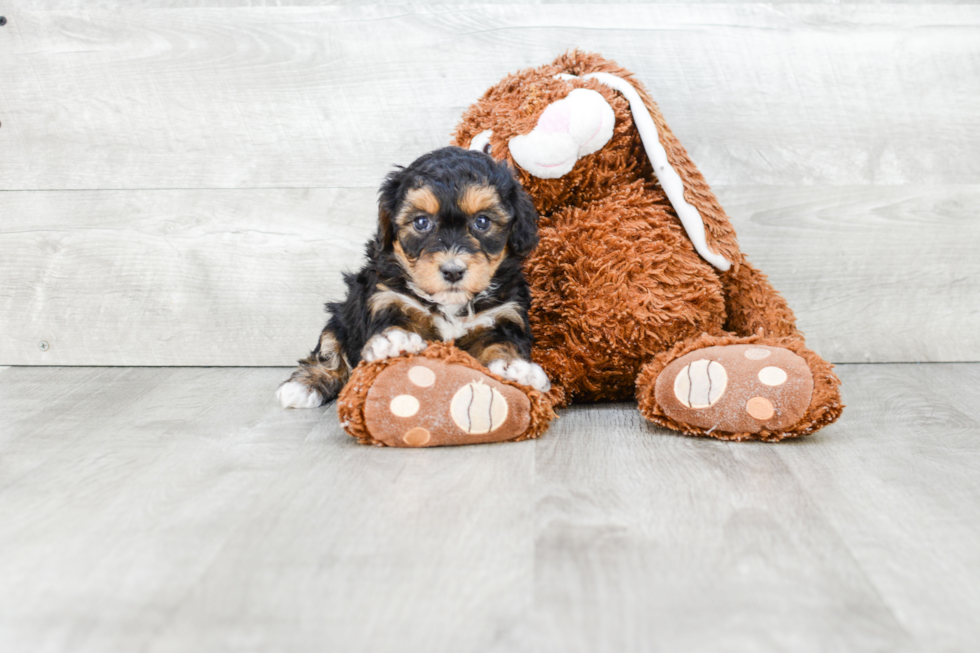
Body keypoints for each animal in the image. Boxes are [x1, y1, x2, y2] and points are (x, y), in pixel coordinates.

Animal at [278, 146, 552, 408]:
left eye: (482, 221)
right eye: (421, 222)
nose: (453, 270)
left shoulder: (505, 315)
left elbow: (503, 344)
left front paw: (514, 368)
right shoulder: (386, 298)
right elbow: (391, 324)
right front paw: (393, 340)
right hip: (341, 315)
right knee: (330, 350)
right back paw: (305, 385)